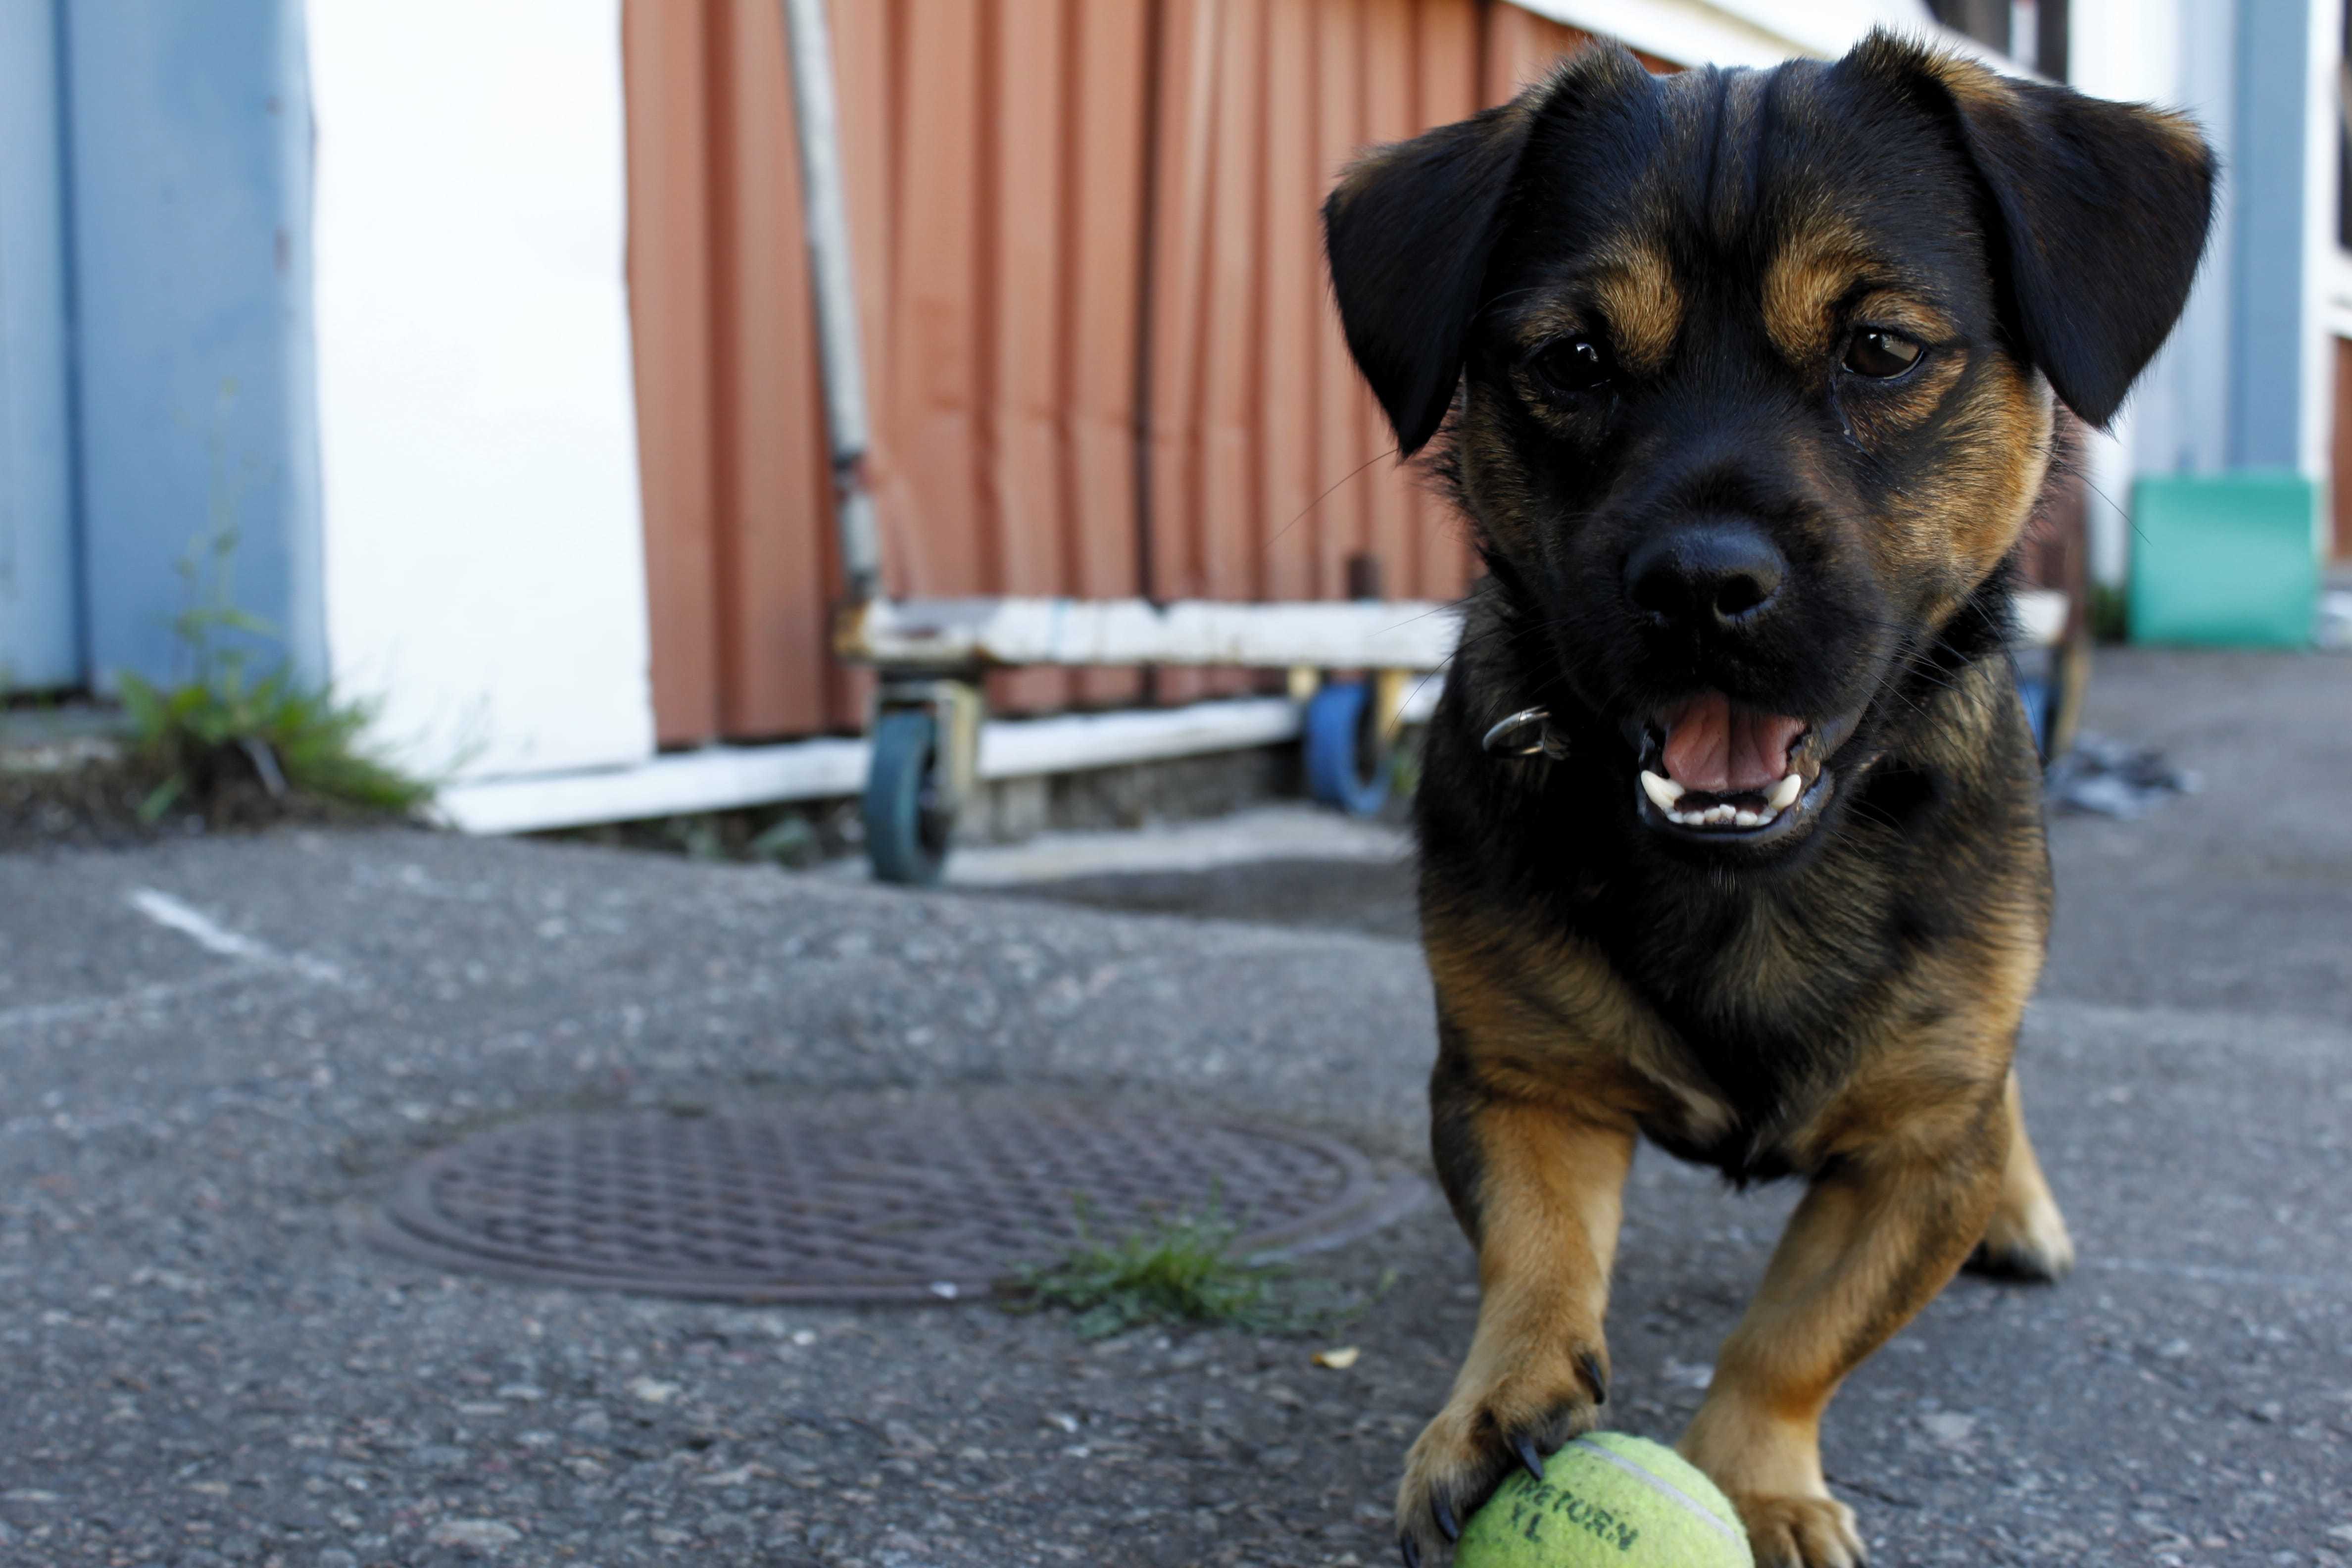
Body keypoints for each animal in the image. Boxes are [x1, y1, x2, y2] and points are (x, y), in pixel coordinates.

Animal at [1336, 27, 2210, 1568]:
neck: (1751, 879)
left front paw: (1752, 1483)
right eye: (1570, 360)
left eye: (1879, 349)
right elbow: (1538, 1253)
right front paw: (1498, 1404)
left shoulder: (1921, 1151)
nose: (1701, 584)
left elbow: (1798, 1333)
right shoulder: (1517, 1081)